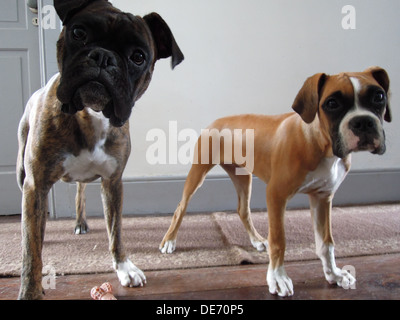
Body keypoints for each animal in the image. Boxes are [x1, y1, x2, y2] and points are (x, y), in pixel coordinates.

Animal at [16, 0, 184, 300]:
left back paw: (80, 222)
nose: (103, 57)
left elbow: (115, 230)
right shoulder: (36, 185)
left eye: (138, 57)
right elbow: (31, 251)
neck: (90, 114)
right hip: (21, 173)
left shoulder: (113, 182)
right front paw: (31, 291)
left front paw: (124, 267)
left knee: (80, 192)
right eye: (79, 33)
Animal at [159, 66, 390, 296]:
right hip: (198, 172)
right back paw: (169, 241)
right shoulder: (276, 195)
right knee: (181, 207)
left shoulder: (322, 198)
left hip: (243, 177)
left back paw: (257, 240)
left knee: (243, 210)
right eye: (332, 103)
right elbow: (279, 241)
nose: (363, 121)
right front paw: (278, 278)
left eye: (379, 97)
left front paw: (334, 274)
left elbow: (326, 243)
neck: (319, 143)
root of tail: (216, 121)